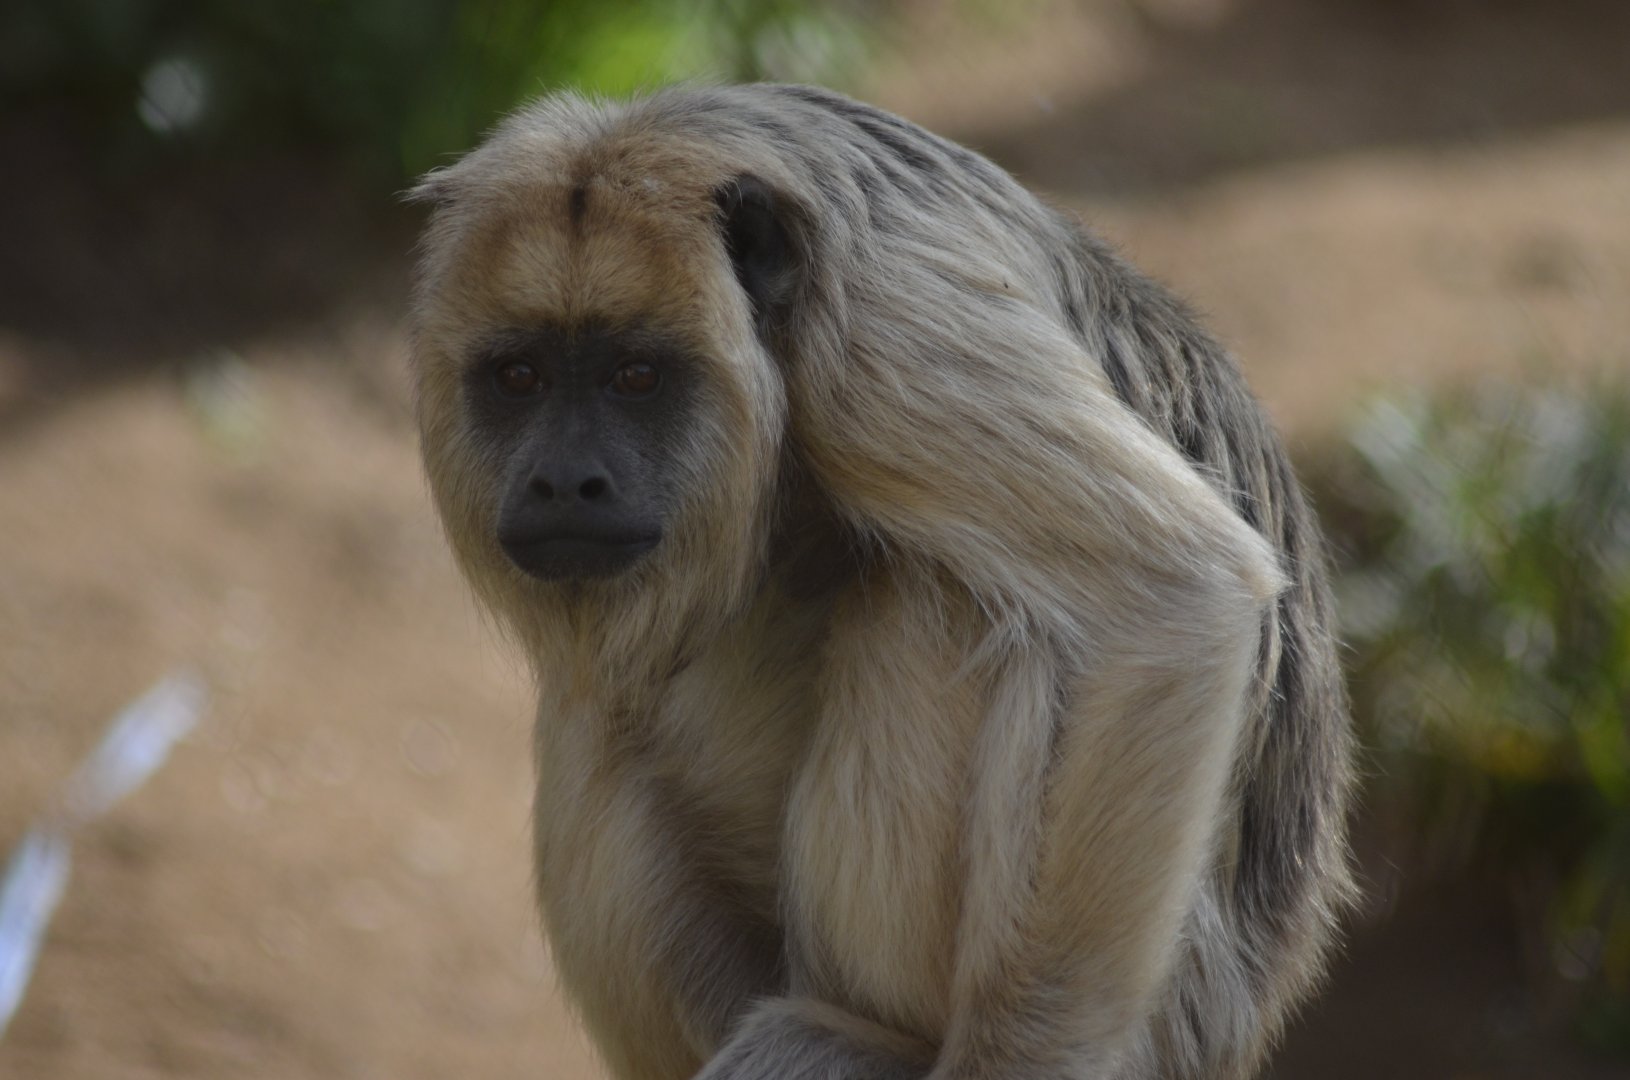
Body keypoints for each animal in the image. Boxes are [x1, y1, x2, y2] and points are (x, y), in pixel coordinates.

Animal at [407, 83, 1354, 1080]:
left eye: (636, 376)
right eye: (518, 375)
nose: (565, 481)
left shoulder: (885, 334)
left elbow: (1171, 594)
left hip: (1171, 1018)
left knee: (944, 600)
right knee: (594, 715)